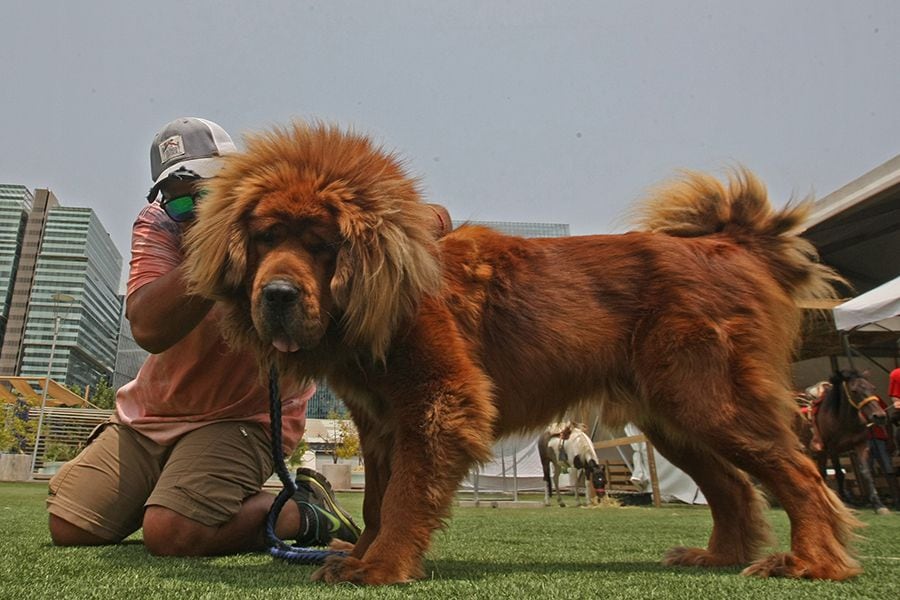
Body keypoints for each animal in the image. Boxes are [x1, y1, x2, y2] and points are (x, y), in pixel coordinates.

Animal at [183, 119, 856, 584]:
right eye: (265, 236)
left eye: (321, 244)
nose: (276, 294)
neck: (381, 290)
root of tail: (731, 245)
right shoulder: (379, 422)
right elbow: (375, 499)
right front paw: (359, 555)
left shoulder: (440, 403)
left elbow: (404, 496)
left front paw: (381, 567)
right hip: (673, 417)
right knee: (736, 489)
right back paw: (716, 557)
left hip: (704, 399)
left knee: (799, 474)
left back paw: (811, 563)